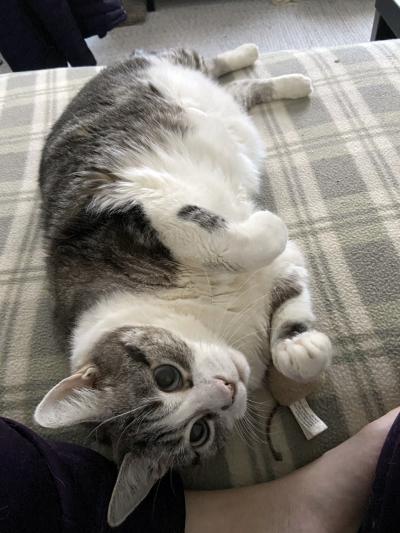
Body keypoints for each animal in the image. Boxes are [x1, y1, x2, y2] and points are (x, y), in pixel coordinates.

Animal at [34, 44, 332, 524]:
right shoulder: (277, 276)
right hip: (228, 109)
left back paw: (262, 62)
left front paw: (267, 222)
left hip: (168, 70)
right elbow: (288, 297)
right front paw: (299, 349)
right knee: (240, 92)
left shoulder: (127, 207)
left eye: (166, 377)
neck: (211, 316)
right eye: (199, 433)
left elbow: (219, 230)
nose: (228, 388)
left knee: (207, 63)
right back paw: (286, 81)